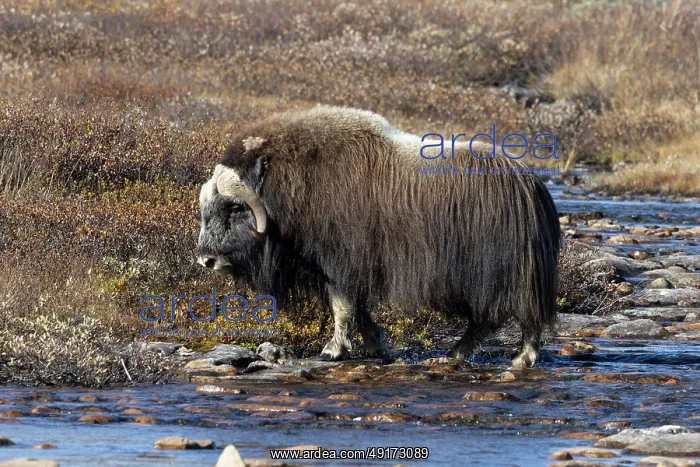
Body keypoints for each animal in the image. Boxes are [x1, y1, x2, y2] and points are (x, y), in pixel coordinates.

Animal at [196, 106, 560, 367]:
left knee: (508, 315)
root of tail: (531, 183)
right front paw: (376, 345)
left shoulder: (342, 262)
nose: (205, 260)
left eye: (233, 208)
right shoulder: (351, 268)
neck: (294, 185)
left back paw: (518, 357)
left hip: (497, 274)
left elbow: (342, 306)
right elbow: (359, 310)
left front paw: (332, 350)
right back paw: (459, 354)